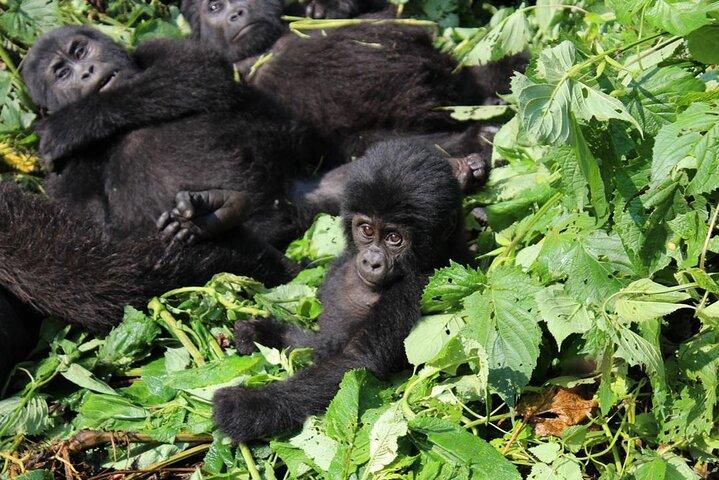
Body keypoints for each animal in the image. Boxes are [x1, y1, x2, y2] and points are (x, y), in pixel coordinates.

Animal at [212, 140, 469, 442]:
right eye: (367, 230)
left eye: (394, 238)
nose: (371, 261)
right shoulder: (340, 263)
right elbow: (324, 345)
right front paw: (261, 333)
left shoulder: (419, 286)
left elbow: (354, 362)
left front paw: (248, 406)